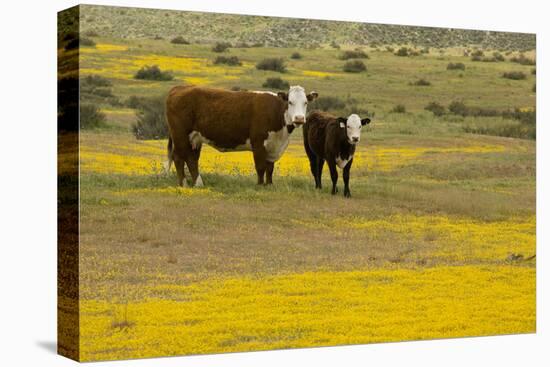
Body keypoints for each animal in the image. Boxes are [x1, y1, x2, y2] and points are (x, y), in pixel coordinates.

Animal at [166, 86, 316, 187]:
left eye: (305, 103)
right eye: (290, 102)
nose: (299, 118)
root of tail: (180, 88)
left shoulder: (273, 147)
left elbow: (269, 168)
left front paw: (269, 185)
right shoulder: (258, 143)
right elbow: (260, 167)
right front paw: (260, 185)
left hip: (195, 138)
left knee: (192, 160)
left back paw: (198, 184)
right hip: (180, 136)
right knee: (178, 158)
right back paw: (184, 184)